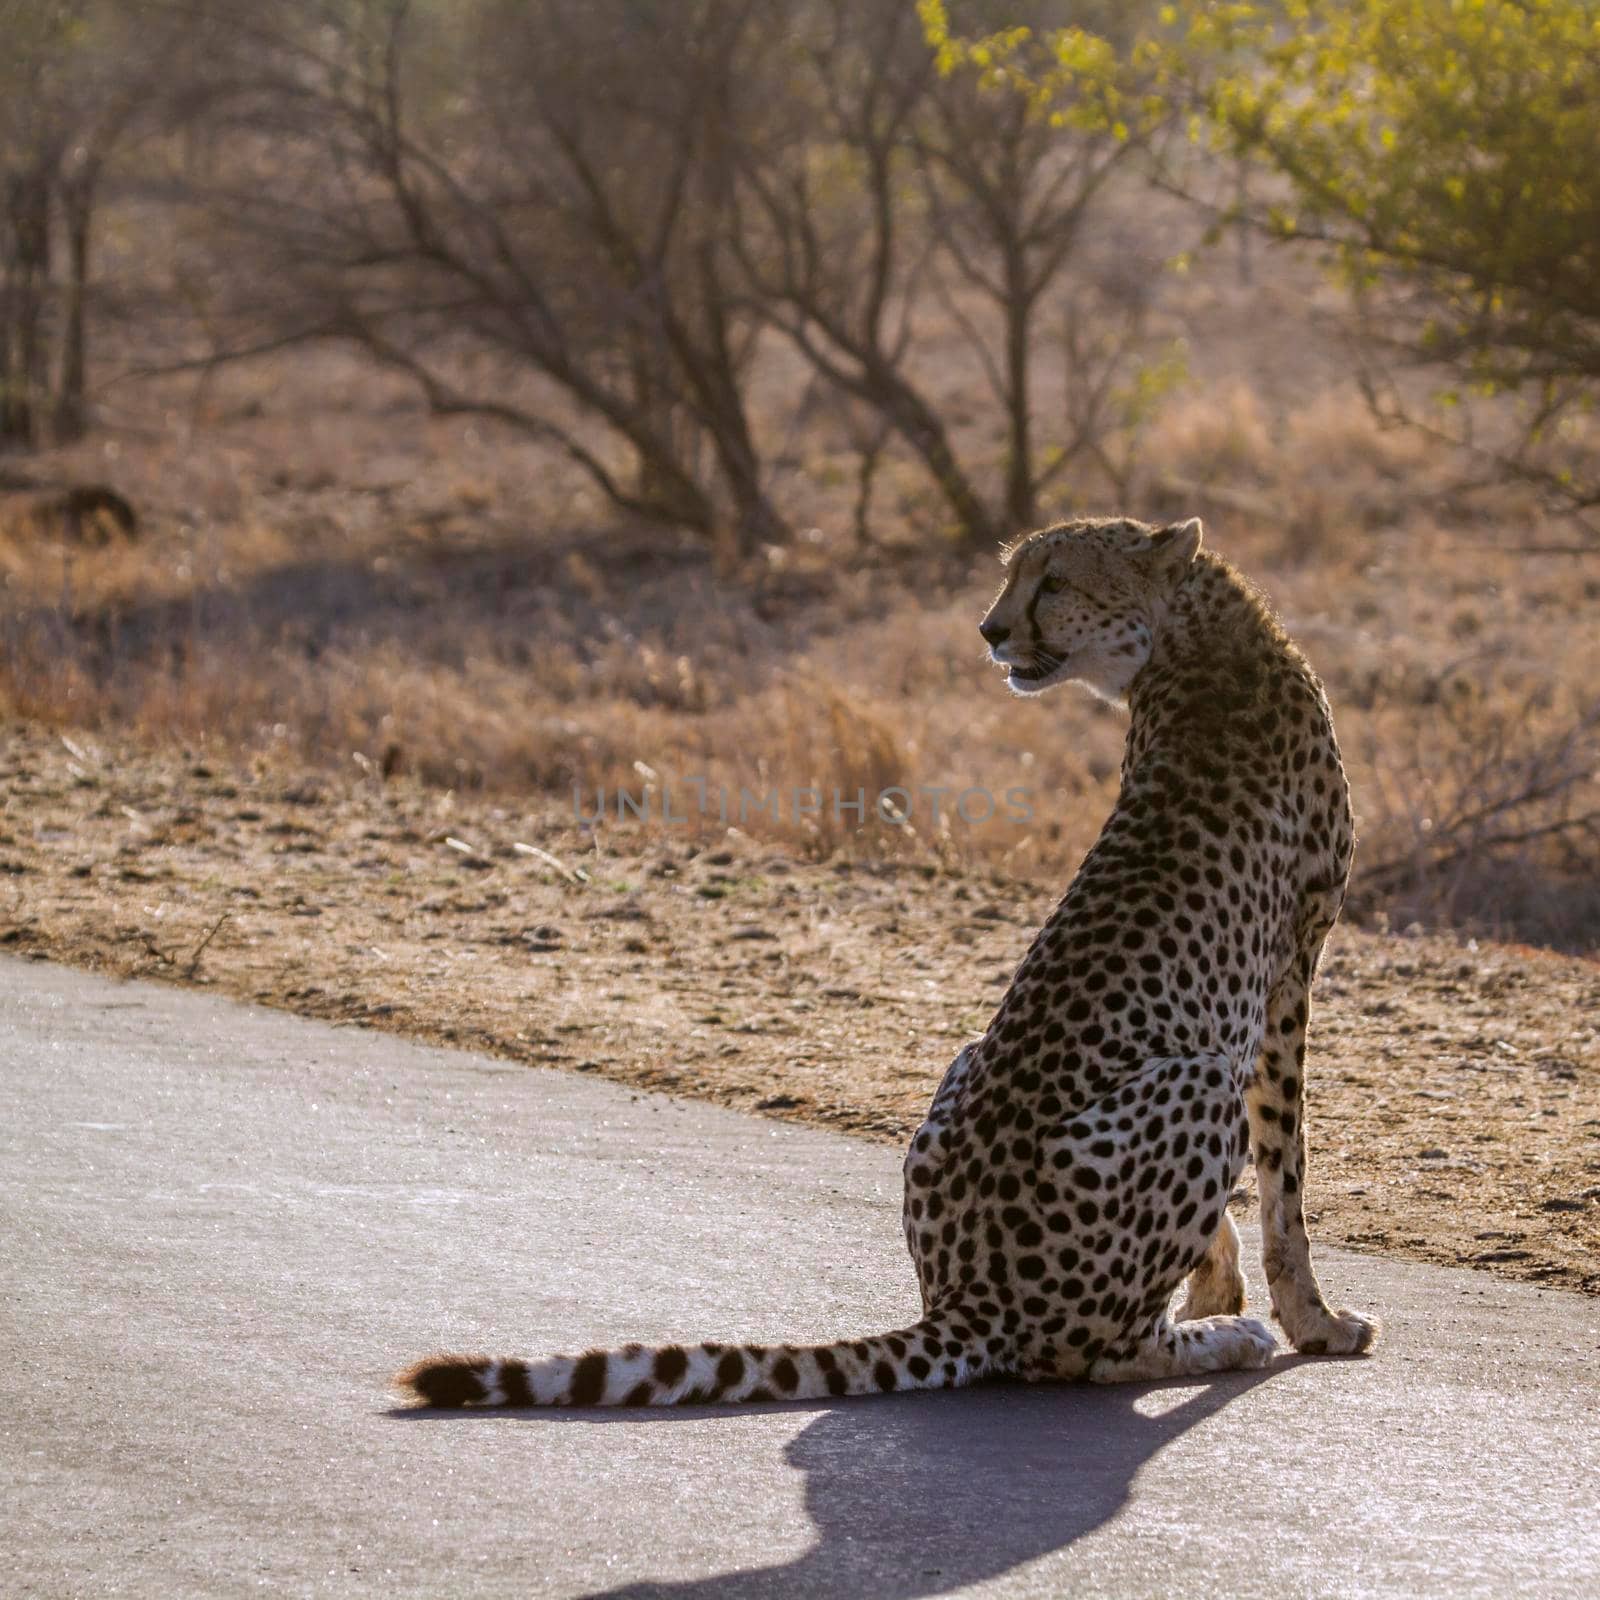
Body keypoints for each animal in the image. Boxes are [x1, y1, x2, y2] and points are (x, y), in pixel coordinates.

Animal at [396, 518, 1376, 1408]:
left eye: (1054, 579)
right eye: (1016, 572)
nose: (989, 630)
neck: (1194, 635)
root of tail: (968, 1301)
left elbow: (1255, 1193)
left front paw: (1223, 1283)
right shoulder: (1290, 968)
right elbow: (1285, 1170)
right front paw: (1310, 1320)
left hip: (965, 1063)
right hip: (1192, 1082)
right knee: (1095, 1355)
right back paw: (1222, 1340)